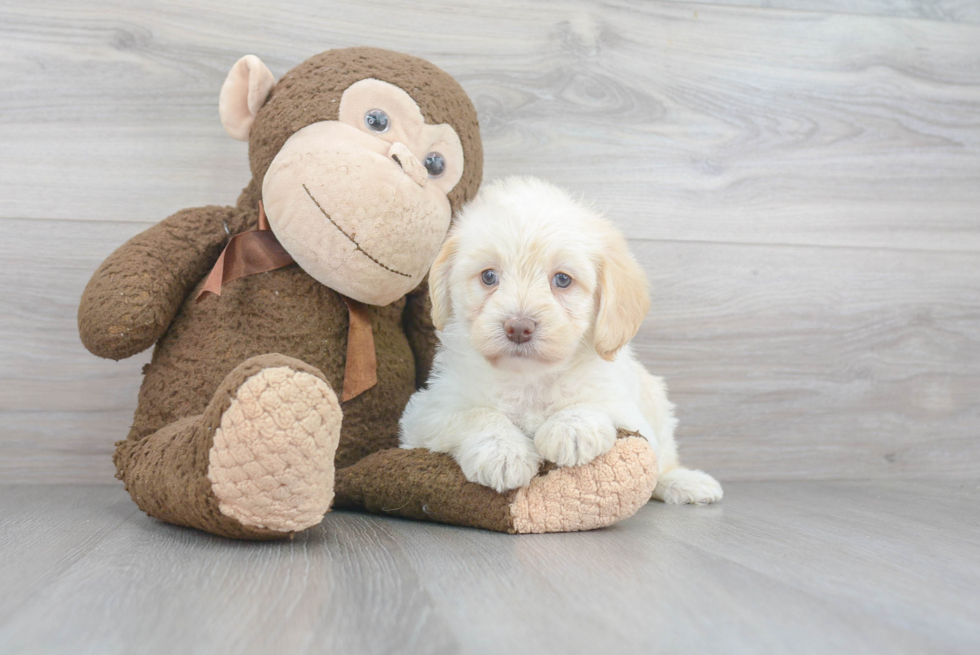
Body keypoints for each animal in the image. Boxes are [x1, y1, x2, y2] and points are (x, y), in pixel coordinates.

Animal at [396, 177, 720, 504]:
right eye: (488, 277)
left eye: (562, 280)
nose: (518, 328)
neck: (529, 379)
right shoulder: (427, 412)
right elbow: (477, 414)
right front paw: (503, 452)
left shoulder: (627, 410)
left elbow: (597, 404)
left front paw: (571, 428)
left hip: (657, 402)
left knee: (663, 460)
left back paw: (685, 482)